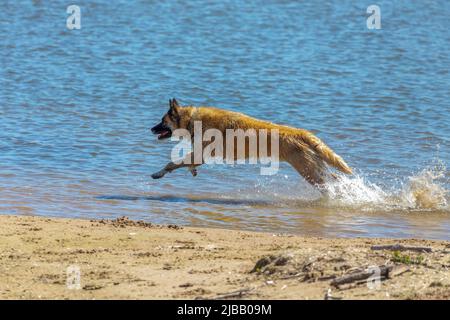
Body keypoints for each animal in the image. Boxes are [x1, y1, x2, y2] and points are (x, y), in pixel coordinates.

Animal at [151, 99, 352, 186]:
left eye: (162, 121)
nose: (151, 129)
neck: (192, 120)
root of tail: (302, 133)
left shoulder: (202, 153)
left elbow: (172, 163)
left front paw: (158, 173)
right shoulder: (201, 154)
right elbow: (186, 163)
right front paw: (192, 170)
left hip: (309, 171)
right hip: (316, 167)